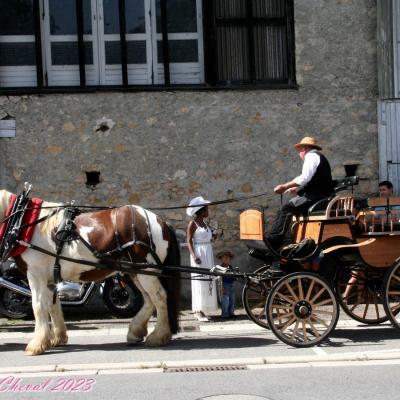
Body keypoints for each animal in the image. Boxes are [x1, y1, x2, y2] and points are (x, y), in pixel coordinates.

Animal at [0, 189, 180, 354]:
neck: (24, 223)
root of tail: (160, 221)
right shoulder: (49, 279)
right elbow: (53, 305)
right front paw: (58, 338)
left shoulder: (36, 275)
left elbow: (38, 306)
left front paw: (36, 344)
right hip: (135, 271)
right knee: (149, 300)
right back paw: (136, 332)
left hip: (145, 270)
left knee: (159, 297)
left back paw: (158, 336)